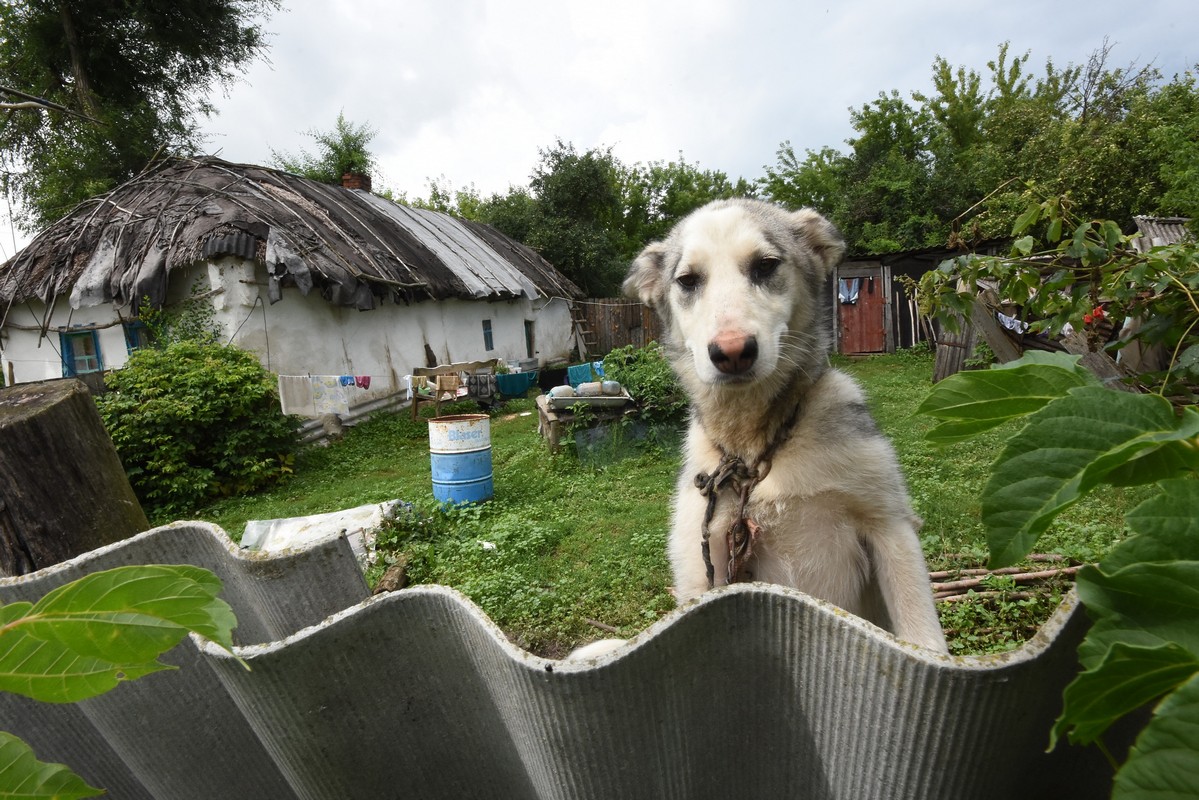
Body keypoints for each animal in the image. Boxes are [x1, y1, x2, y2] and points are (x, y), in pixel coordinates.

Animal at [613, 200, 949, 657]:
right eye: (687, 280)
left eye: (766, 265)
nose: (732, 352)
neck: (756, 450)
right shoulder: (704, 560)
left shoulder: (890, 527)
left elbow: (922, 636)